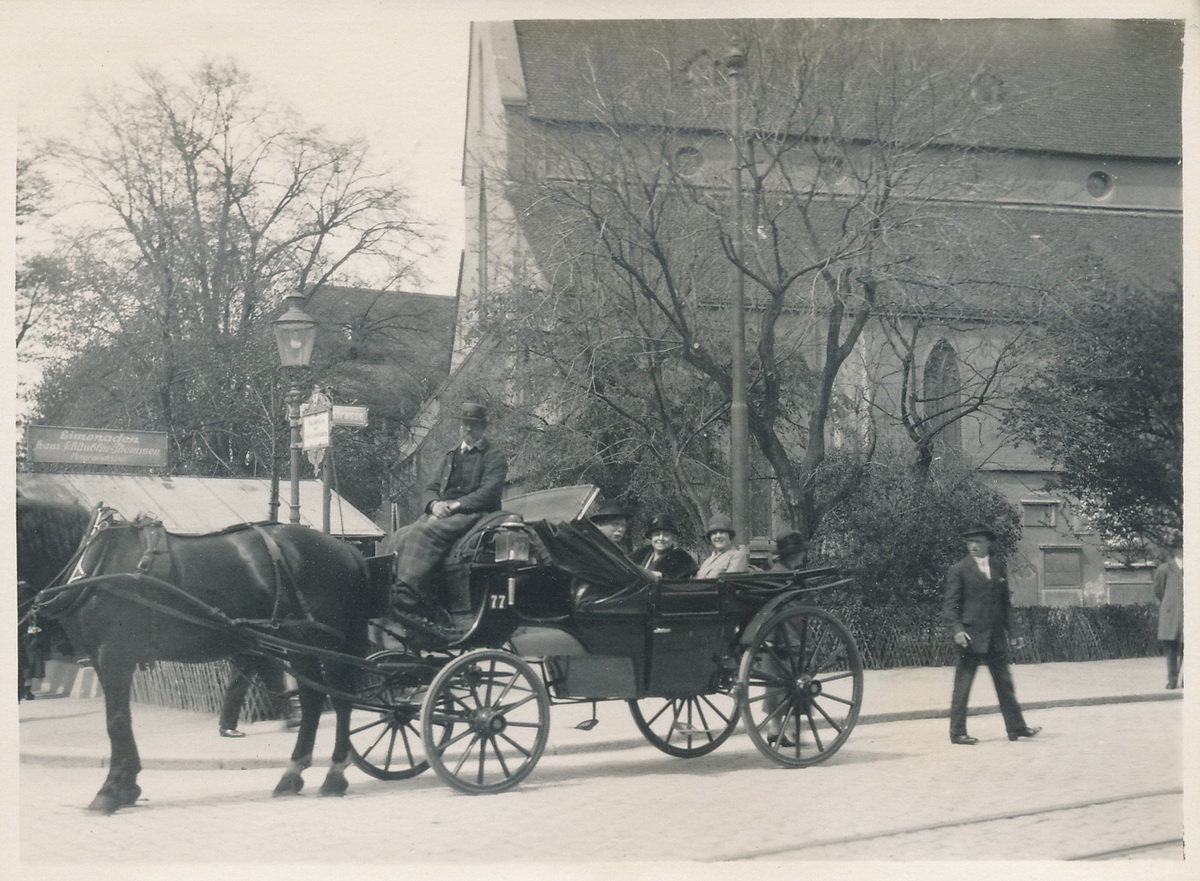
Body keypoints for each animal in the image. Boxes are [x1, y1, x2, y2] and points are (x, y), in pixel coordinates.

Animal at [19, 499, 369, 816]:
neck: (97, 560)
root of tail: (347, 550)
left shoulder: (113, 656)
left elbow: (116, 720)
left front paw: (112, 789)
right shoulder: (103, 659)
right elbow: (120, 720)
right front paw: (128, 785)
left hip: (327, 644)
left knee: (341, 700)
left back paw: (335, 774)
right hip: (299, 646)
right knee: (312, 700)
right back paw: (292, 775)